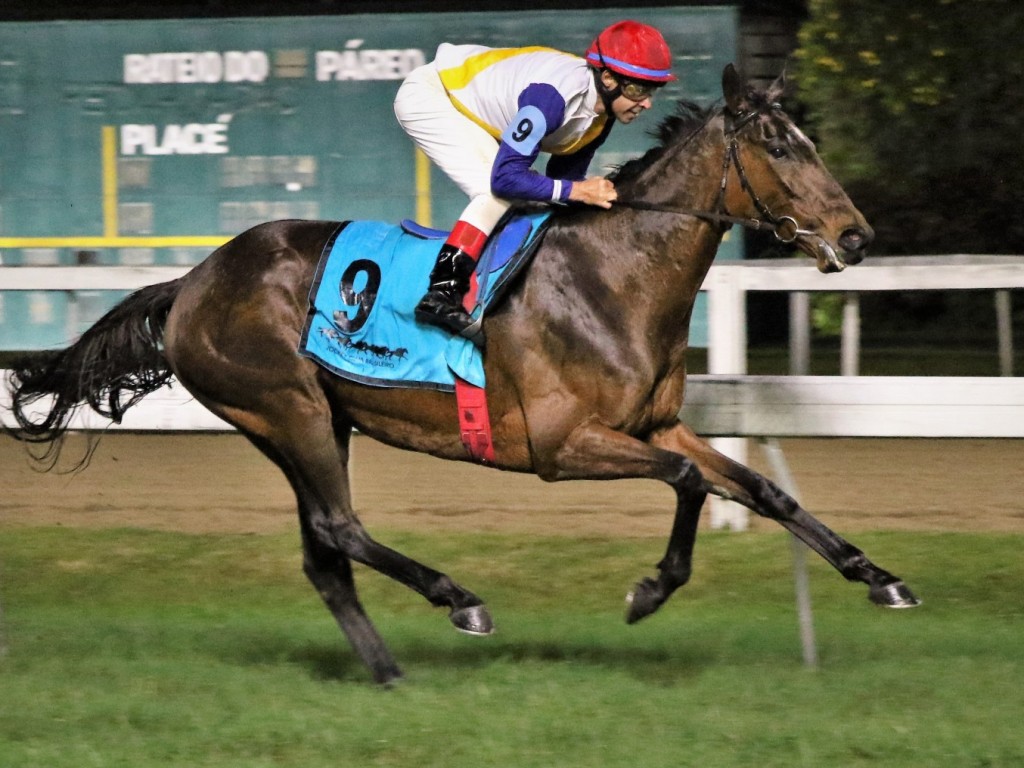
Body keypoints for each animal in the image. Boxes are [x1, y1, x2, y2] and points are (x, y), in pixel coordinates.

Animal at [2, 67, 921, 684]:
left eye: (810, 141)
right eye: (778, 145)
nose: (858, 236)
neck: (612, 276)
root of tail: (192, 280)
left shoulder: (653, 424)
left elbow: (762, 489)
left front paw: (880, 578)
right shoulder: (561, 443)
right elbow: (691, 482)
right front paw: (650, 591)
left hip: (311, 419)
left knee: (324, 554)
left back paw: (388, 672)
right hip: (288, 409)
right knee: (340, 528)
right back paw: (459, 599)